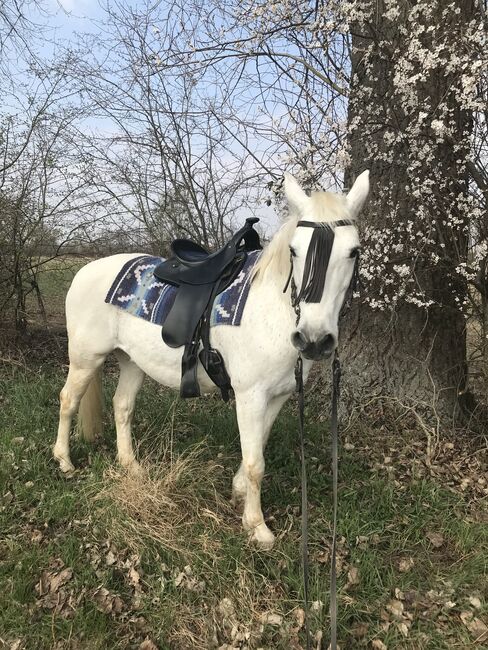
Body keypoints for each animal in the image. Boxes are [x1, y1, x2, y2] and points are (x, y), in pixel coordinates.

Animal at [53, 170, 368, 544]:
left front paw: (239, 491)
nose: (314, 339)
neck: (271, 310)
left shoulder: (277, 396)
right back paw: (64, 461)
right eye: (294, 250)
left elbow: (258, 446)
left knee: (122, 406)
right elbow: (255, 462)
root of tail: (85, 271)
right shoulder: (250, 396)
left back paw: (131, 466)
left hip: (132, 361)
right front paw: (256, 526)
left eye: (354, 252)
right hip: (86, 358)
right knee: (68, 400)